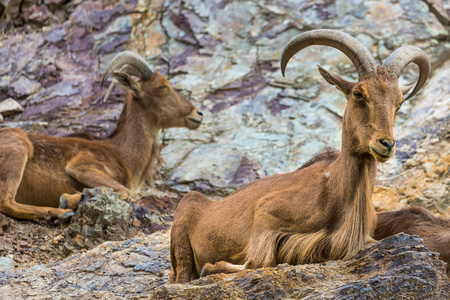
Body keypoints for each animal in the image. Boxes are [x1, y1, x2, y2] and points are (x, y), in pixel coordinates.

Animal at [0, 51, 204, 220]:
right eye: (162, 86)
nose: (198, 114)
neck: (121, 153)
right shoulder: (81, 166)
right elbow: (125, 191)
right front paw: (67, 199)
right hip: (18, 149)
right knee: (6, 202)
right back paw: (57, 213)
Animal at [170, 29, 432, 284]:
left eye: (399, 102)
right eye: (358, 93)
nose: (386, 144)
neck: (333, 189)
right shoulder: (265, 214)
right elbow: (256, 261)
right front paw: (211, 267)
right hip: (184, 223)